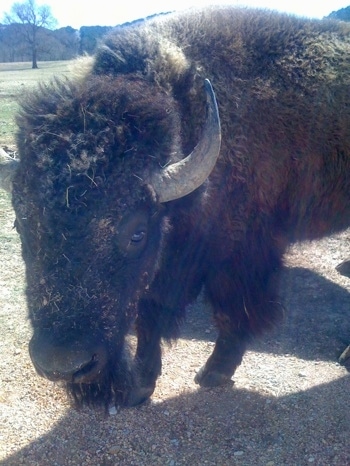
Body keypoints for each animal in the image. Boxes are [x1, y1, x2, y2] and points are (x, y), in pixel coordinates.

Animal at [0, 6, 350, 408]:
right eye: (20, 224)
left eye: (137, 233)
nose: (63, 364)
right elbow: (149, 312)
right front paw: (141, 384)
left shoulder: (238, 256)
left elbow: (231, 314)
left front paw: (212, 373)